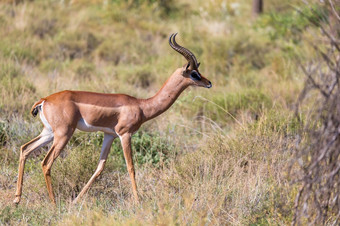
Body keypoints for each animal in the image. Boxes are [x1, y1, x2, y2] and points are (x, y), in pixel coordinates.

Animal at [13, 33, 212, 205]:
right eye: (194, 73)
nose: (209, 83)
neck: (141, 105)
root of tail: (44, 100)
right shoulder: (125, 134)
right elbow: (131, 167)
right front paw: (138, 201)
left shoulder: (109, 135)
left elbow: (99, 168)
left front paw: (76, 200)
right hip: (63, 134)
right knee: (45, 163)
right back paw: (53, 203)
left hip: (49, 133)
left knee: (25, 149)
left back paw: (17, 200)